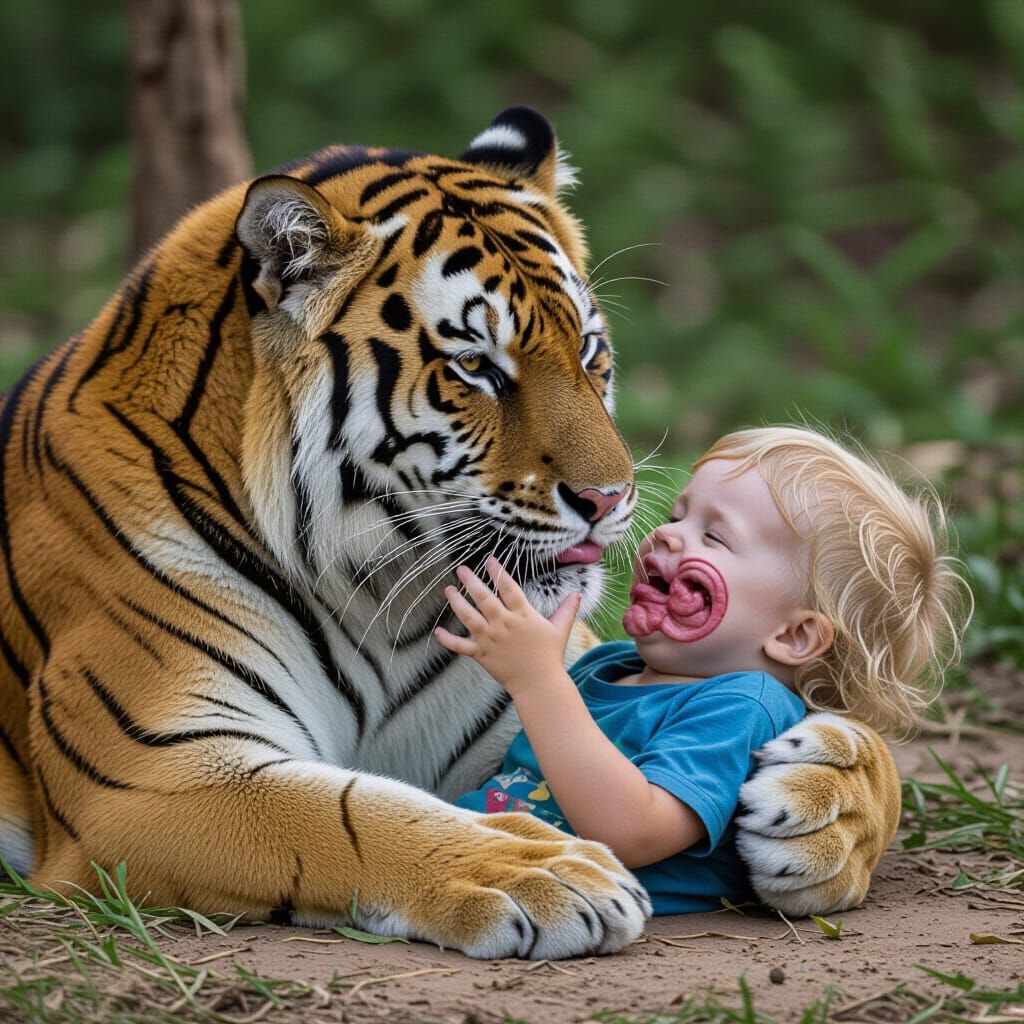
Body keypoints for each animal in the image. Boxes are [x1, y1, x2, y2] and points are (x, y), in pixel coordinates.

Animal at [0, 107, 901, 958]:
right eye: (476, 367)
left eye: (588, 349)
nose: (609, 498)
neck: (378, 602)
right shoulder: (148, 774)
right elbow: (344, 814)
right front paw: (537, 869)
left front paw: (833, 794)